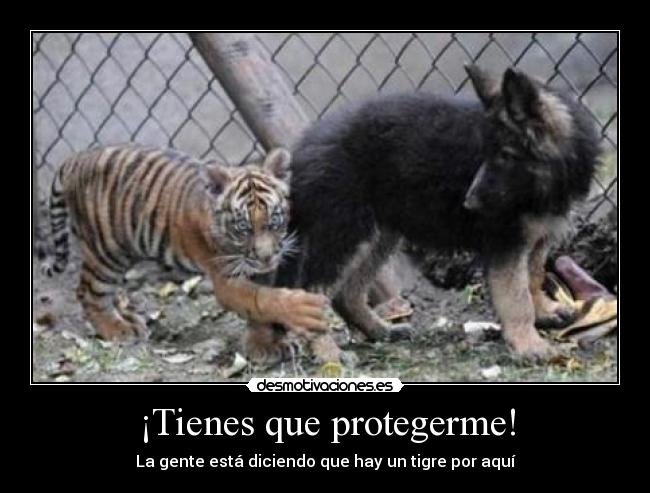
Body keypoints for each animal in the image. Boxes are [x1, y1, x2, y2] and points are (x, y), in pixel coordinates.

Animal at [40, 143, 327, 357]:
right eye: (243, 228)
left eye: (274, 220)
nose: (266, 257)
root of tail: (76, 158)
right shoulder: (227, 279)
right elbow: (262, 299)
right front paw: (306, 310)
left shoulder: (260, 271)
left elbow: (261, 308)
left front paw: (264, 346)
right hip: (106, 252)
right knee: (89, 293)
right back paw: (119, 330)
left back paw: (130, 319)